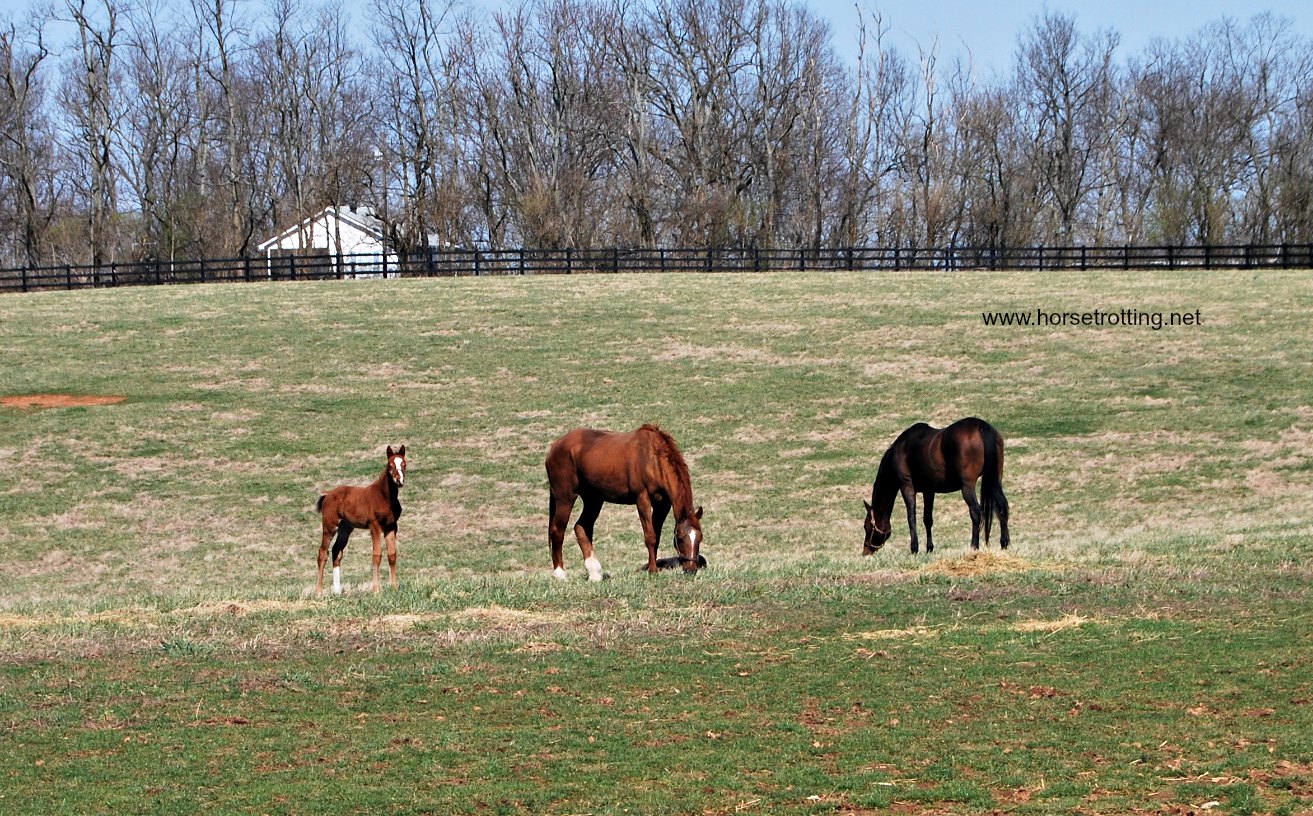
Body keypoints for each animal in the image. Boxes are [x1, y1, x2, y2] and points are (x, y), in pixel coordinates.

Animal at [315, 445, 407, 596]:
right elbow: (377, 555)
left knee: (336, 551)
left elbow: (392, 555)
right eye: (389, 465)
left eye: (404, 464)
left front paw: (394, 587)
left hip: (345, 528)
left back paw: (337, 591)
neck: (384, 496)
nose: (399, 481)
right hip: (330, 526)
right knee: (323, 553)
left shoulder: (391, 526)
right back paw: (318, 591)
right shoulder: (374, 526)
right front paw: (376, 589)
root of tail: (327, 495)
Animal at [546, 424, 704, 580]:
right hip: (565, 498)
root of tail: (554, 447)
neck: (652, 459)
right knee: (557, 532)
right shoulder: (642, 499)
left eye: (699, 538)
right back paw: (560, 574)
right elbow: (650, 537)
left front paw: (651, 567)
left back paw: (594, 573)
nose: (691, 569)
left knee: (581, 528)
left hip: (593, 500)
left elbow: (656, 535)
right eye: (680, 538)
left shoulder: (662, 505)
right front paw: (653, 570)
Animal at [862, 418, 1009, 554]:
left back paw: (974, 546)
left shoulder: (907, 487)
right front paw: (929, 548)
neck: (902, 449)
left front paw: (914, 548)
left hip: (967, 486)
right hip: (996, 478)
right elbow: (928, 519)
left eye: (866, 526)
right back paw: (1004, 543)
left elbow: (911, 518)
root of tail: (981, 426)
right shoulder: (929, 491)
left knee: (975, 512)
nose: (866, 551)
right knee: (1001, 507)